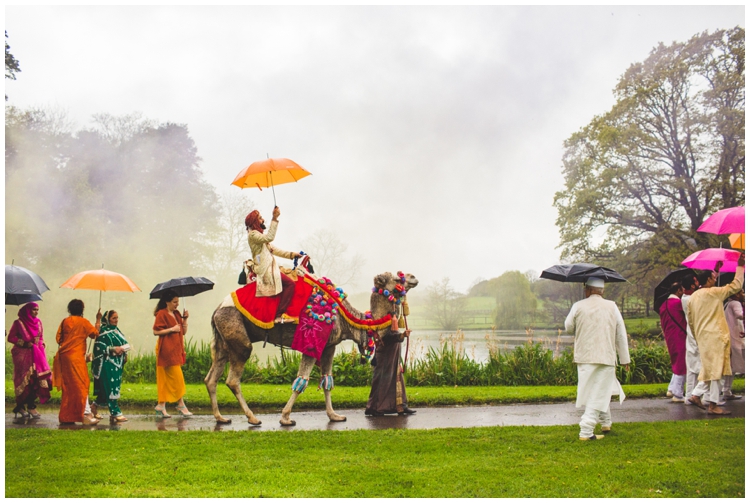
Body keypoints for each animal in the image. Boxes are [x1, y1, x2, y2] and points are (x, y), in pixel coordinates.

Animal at [206, 272, 420, 426]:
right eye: (396, 278)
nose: (413, 277)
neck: (345, 317)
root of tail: (216, 310)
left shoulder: (329, 346)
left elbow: (327, 380)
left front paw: (334, 416)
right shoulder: (312, 343)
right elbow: (302, 380)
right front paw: (286, 418)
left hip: (223, 342)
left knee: (211, 379)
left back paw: (221, 418)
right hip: (237, 335)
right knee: (233, 379)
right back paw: (253, 418)